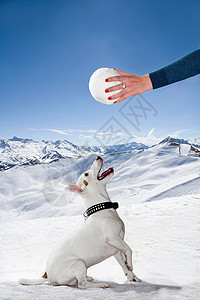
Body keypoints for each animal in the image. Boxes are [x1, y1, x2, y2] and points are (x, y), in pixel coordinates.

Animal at [19, 157, 141, 288]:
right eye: (86, 174)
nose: (98, 157)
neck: (101, 209)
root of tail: (47, 274)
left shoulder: (116, 250)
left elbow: (124, 266)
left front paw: (133, 277)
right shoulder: (112, 238)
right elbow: (129, 249)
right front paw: (130, 264)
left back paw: (89, 277)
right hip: (79, 263)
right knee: (82, 284)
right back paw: (100, 284)